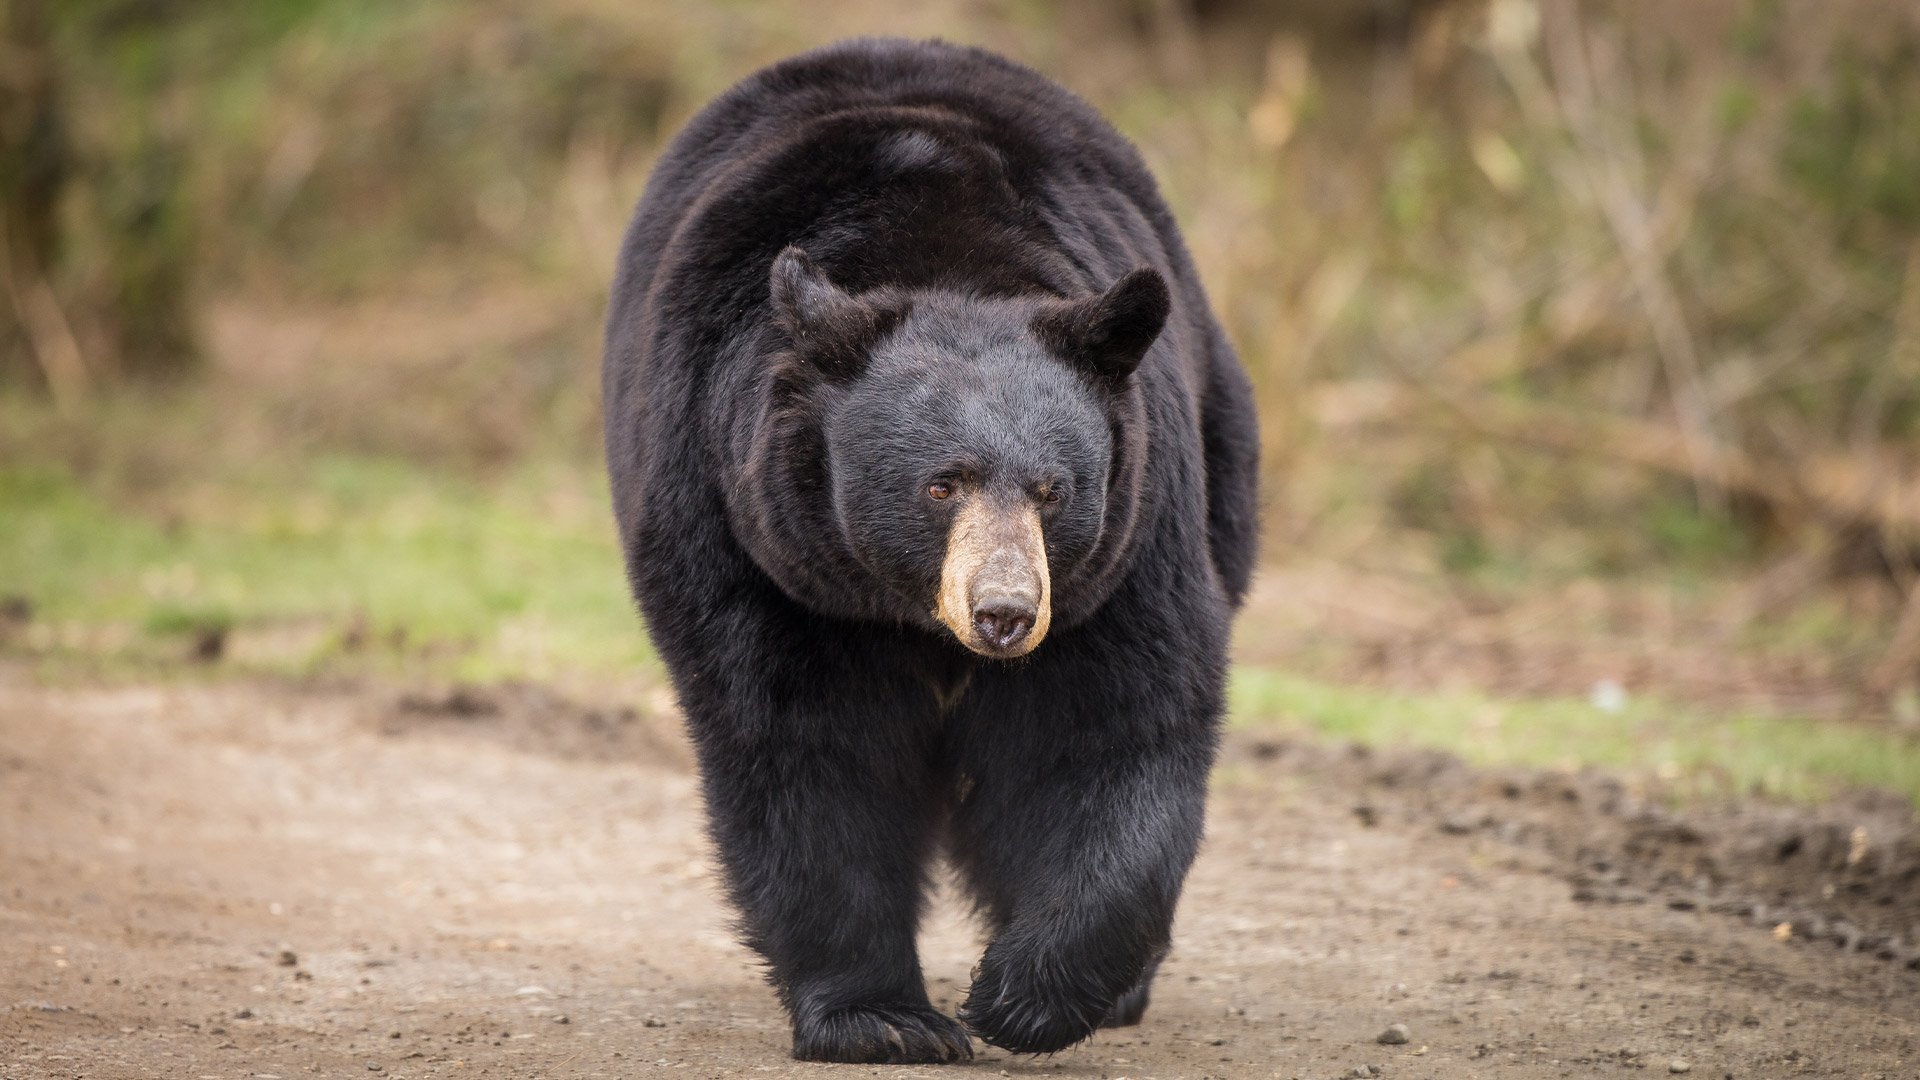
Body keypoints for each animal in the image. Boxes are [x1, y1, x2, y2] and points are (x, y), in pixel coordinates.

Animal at [602, 38, 1260, 1064]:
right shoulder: (752, 543)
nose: (1005, 613)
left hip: (1221, 453)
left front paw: (1024, 995)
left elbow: (1115, 722)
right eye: (940, 484)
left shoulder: (1132, 533)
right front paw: (884, 1019)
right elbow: (803, 747)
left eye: (1052, 490)